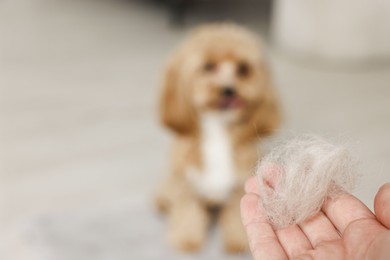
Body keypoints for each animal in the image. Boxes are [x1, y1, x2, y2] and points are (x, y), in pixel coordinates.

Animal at [155, 23, 280, 252]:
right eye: (208, 66)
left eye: (243, 69)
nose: (229, 90)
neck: (218, 130)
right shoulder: (186, 183)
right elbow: (187, 211)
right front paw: (186, 239)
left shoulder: (239, 186)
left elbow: (235, 215)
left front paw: (238, 240)